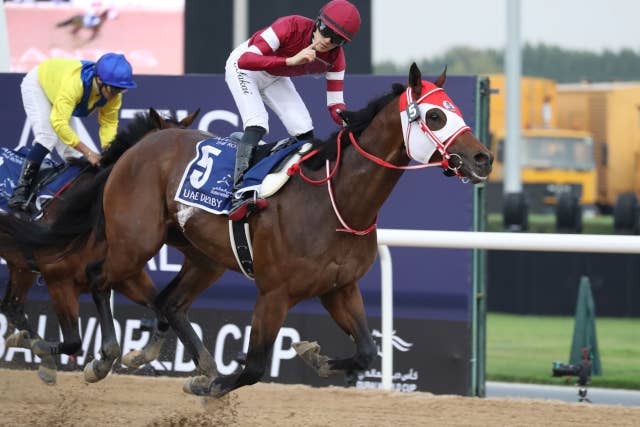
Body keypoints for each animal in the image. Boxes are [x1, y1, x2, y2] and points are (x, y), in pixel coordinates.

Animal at [0, 107, 200, 384]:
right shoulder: (57, 279)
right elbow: (74, 341)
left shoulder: (127, 275)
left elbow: (160, 308)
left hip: (20, 265)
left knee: (12, 306)